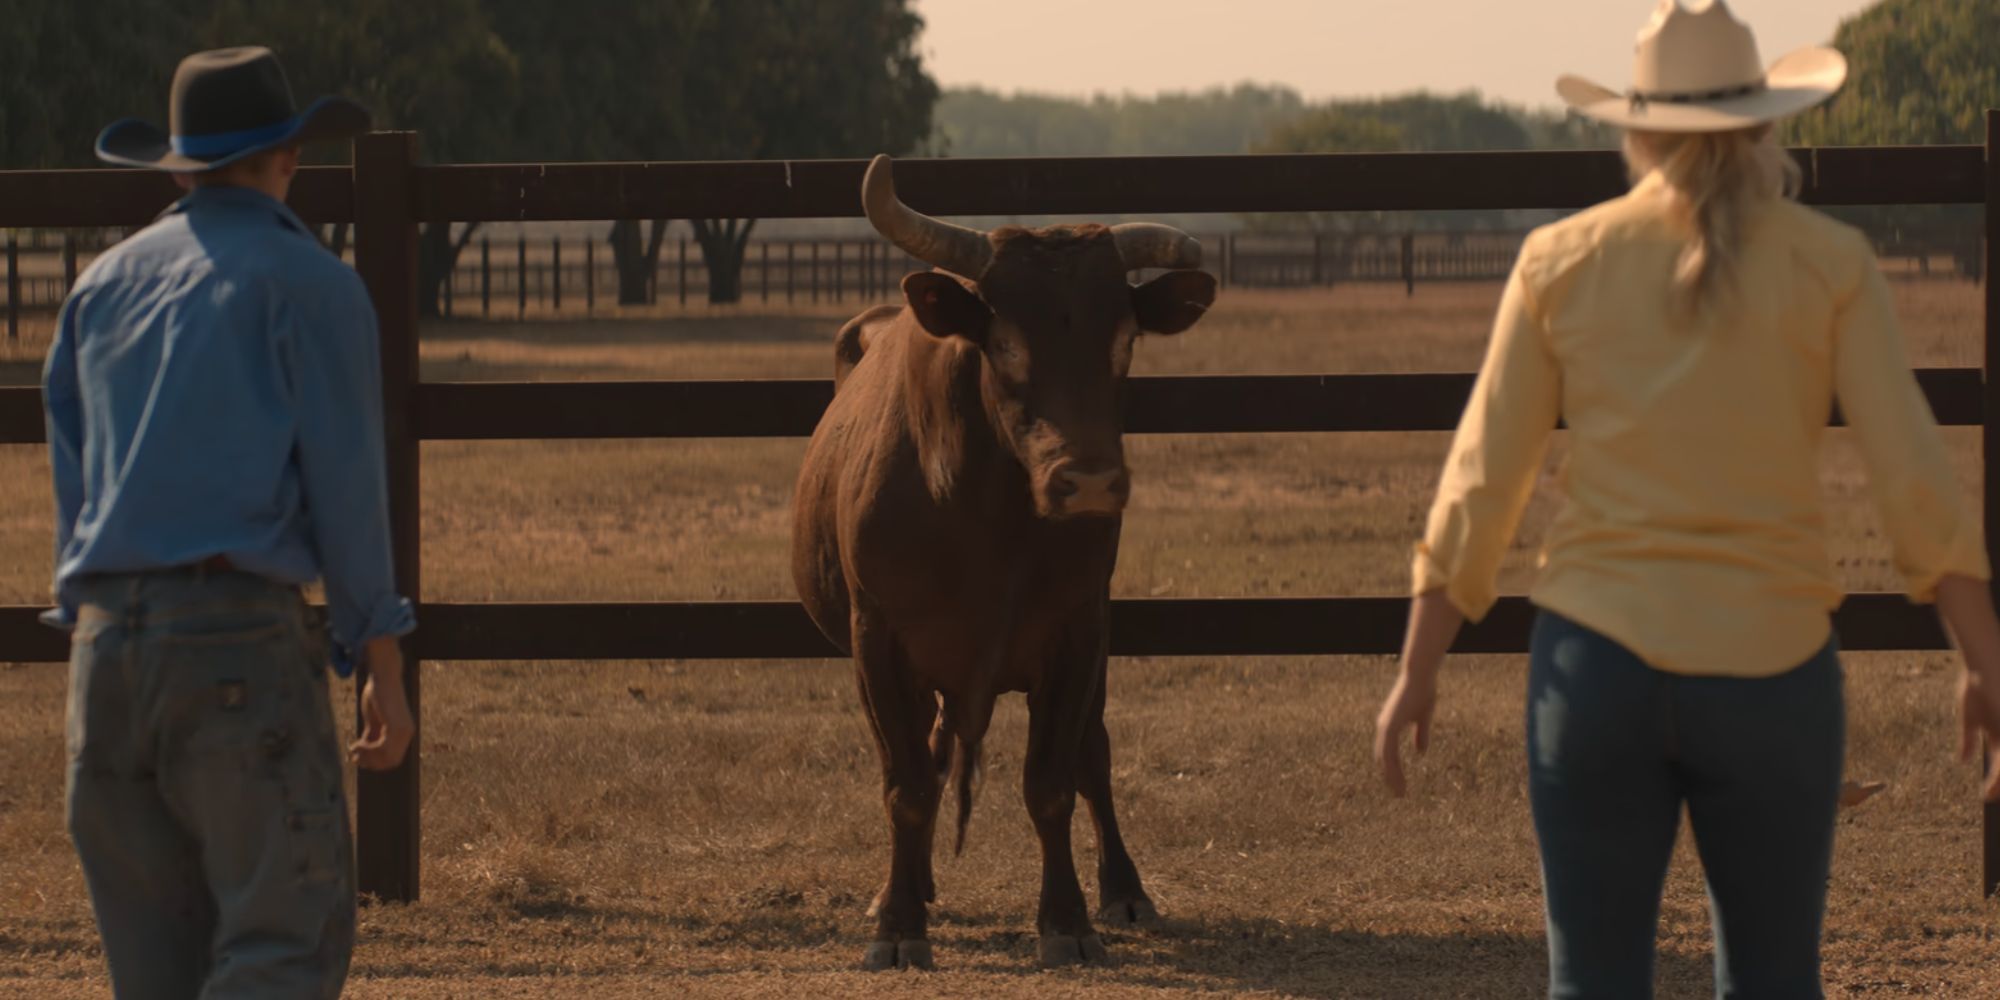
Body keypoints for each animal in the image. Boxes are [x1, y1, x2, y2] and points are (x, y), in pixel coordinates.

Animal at [788, 156, 1208, 968]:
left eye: (1126, 339)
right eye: (1006, 343)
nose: (1090, 482)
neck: (984, 516)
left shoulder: (1079, 632)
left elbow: (1053, 781)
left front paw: (1068, 921)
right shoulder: (876, 641)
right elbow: (907, 786)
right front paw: (899, 925)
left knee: (1092, 756)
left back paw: (1125, 890)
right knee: (922, 758)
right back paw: (906, 887)